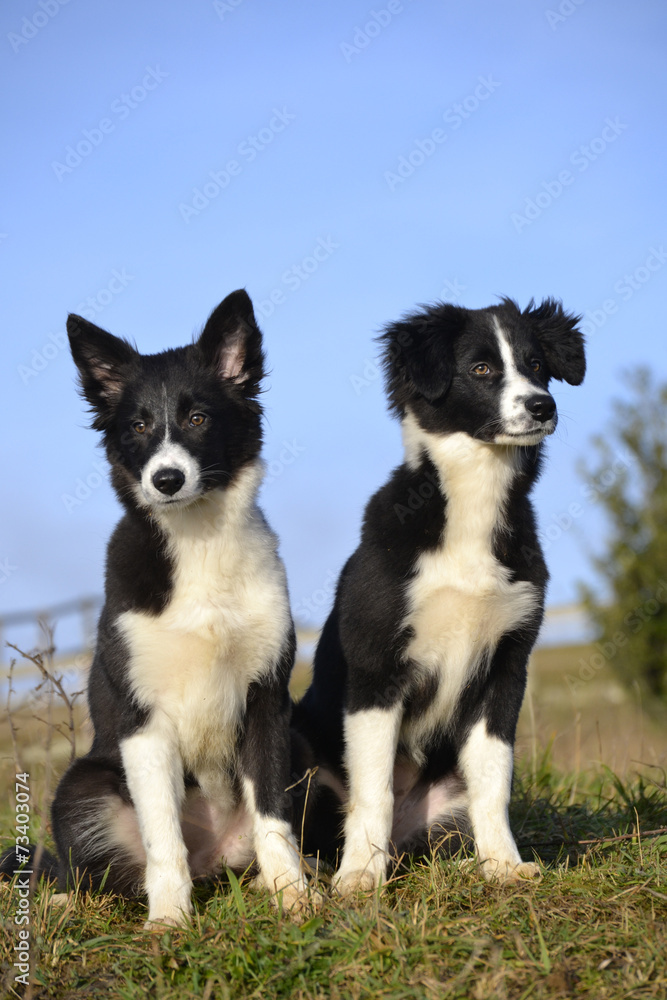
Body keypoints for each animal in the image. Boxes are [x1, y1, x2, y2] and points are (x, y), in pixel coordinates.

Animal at [47, 288, 314, 920]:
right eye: (139, 425)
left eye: (198, 418)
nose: (166, 479)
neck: (199, 543)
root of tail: (214, 860)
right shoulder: (143, 721)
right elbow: (162, 834)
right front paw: (169, 920)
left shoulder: (266, 701)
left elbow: (274, 818)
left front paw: (293, 897)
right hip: (80, 787)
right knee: (101, 872)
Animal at [294, 294, 588, 892]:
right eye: (481, 368)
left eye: (537, 364)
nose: (542, 406)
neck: (472, 504)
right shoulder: (377, 666)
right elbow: (373, 789)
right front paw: (360, 875)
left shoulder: (506, 663)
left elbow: (493, 781)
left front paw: (504, 865)